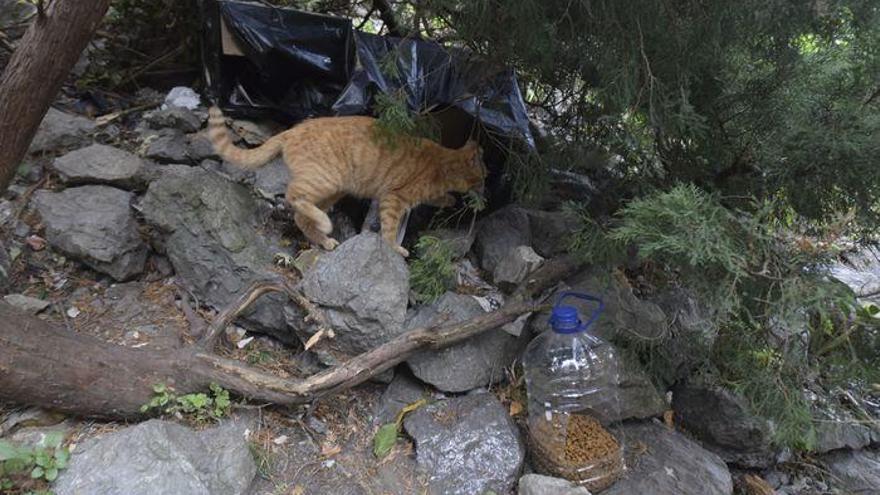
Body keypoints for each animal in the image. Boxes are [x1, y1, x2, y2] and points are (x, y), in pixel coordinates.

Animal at [207, 107, 488, 258]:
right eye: (485, 175)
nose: (487, 187)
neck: (443, 164)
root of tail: (292, 129)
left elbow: (438, 198)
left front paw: (449, 199)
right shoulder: (394, 198)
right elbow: (389, 228)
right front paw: (394, 248)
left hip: (333, 190)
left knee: (300, 216)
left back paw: (324, 240)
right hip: (325, 180)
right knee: (293, 195)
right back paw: (325, 224)